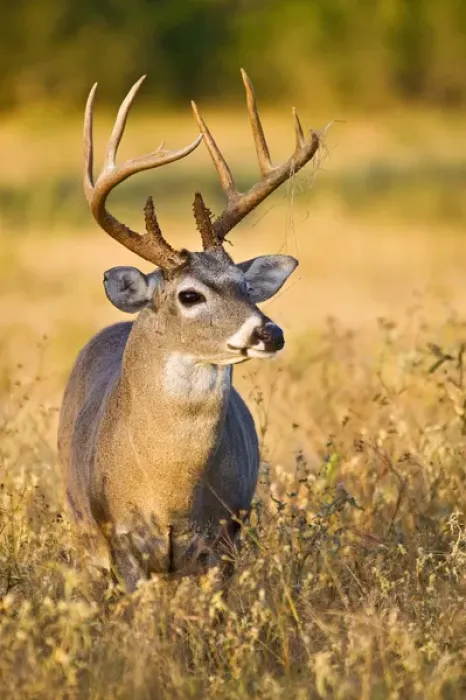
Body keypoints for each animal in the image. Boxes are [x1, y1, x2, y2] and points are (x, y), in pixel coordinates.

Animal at [57, 70, 320, 592]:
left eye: (245, 285)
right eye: (190, 295)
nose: (270, 333)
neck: (169, 492)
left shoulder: (225, 537)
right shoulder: (121, 541)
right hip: (82, 530)